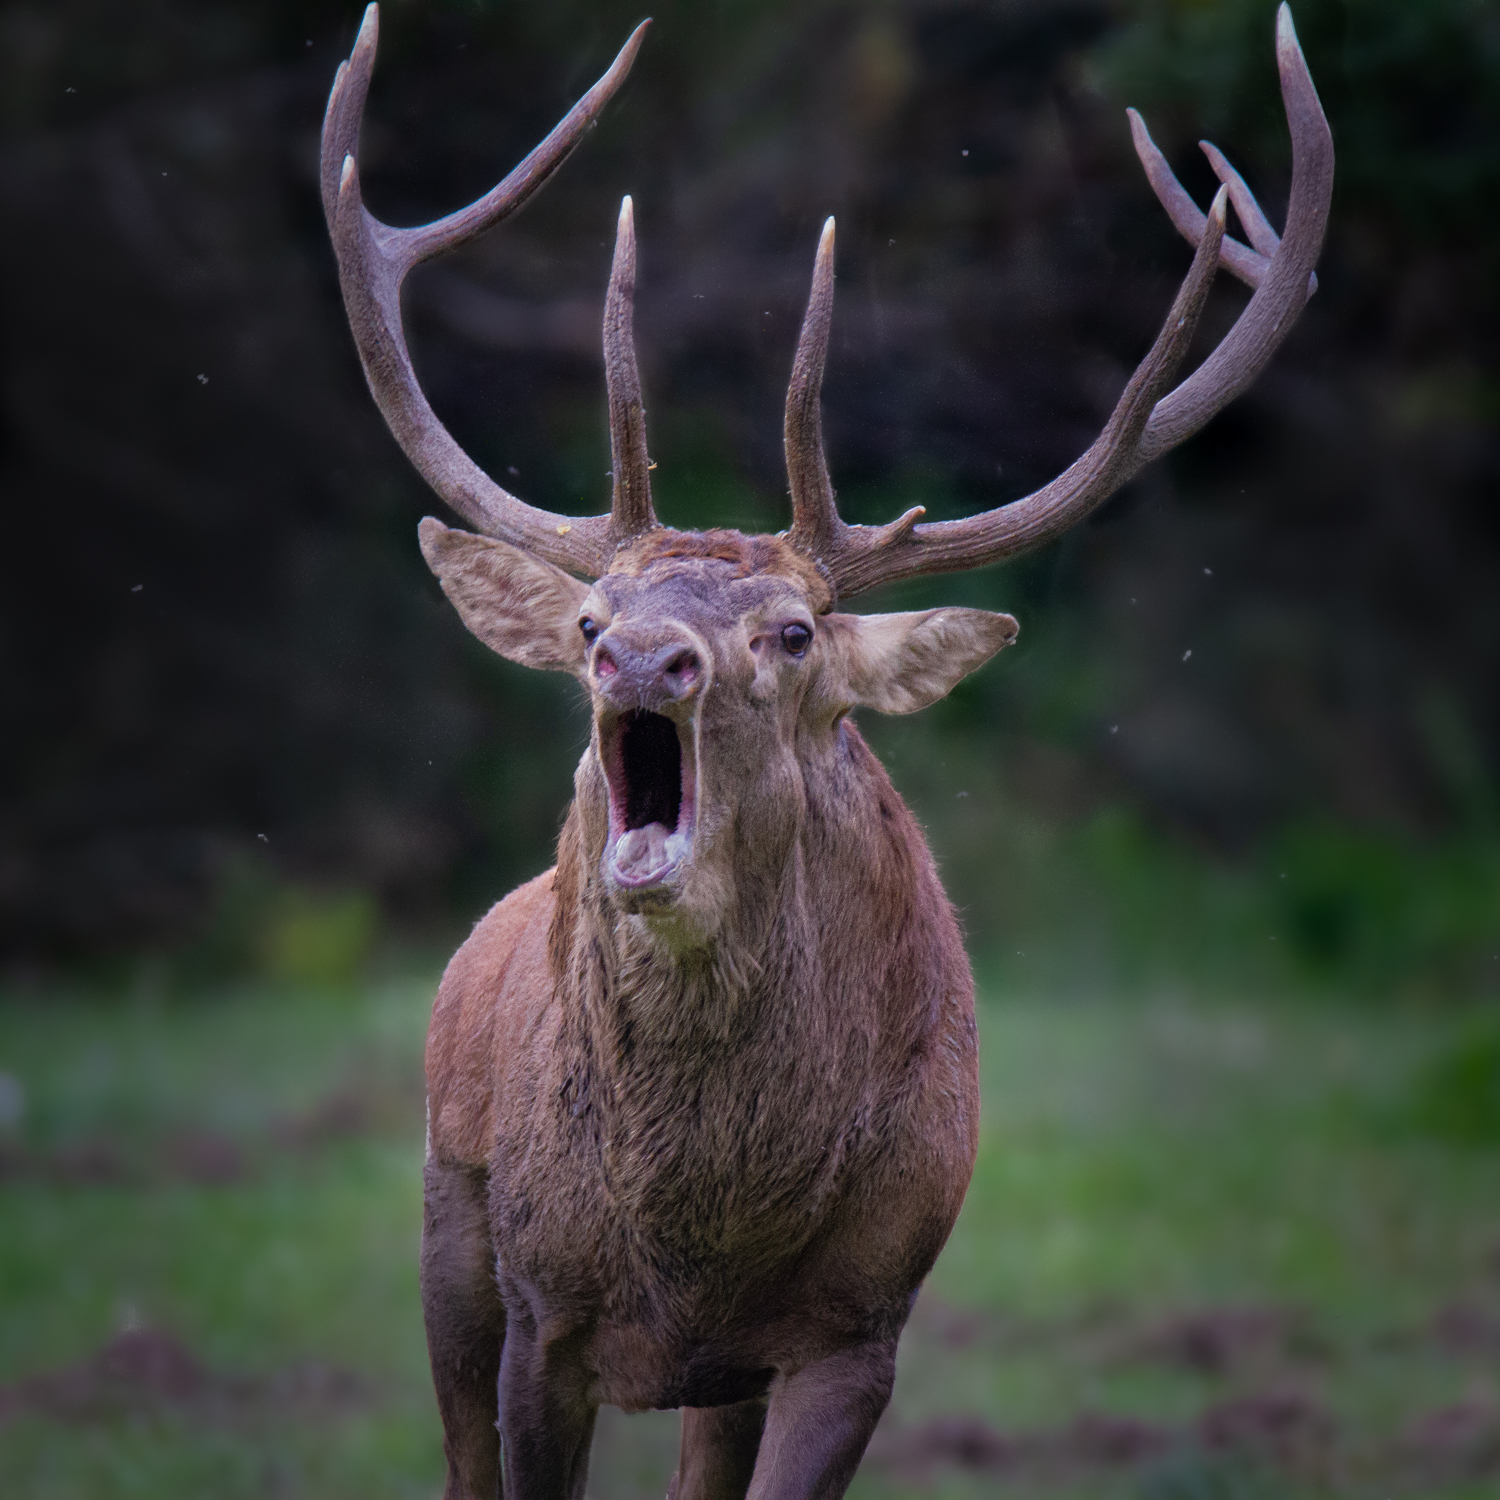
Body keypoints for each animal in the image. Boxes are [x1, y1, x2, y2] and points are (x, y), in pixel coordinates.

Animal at [320, 6, 1331, 1497]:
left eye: (793, 634)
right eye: (588, 618)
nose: (644, 659)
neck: (696, 1243)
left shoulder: (859, 1326)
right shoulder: (537, 1313)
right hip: (449, 1230)